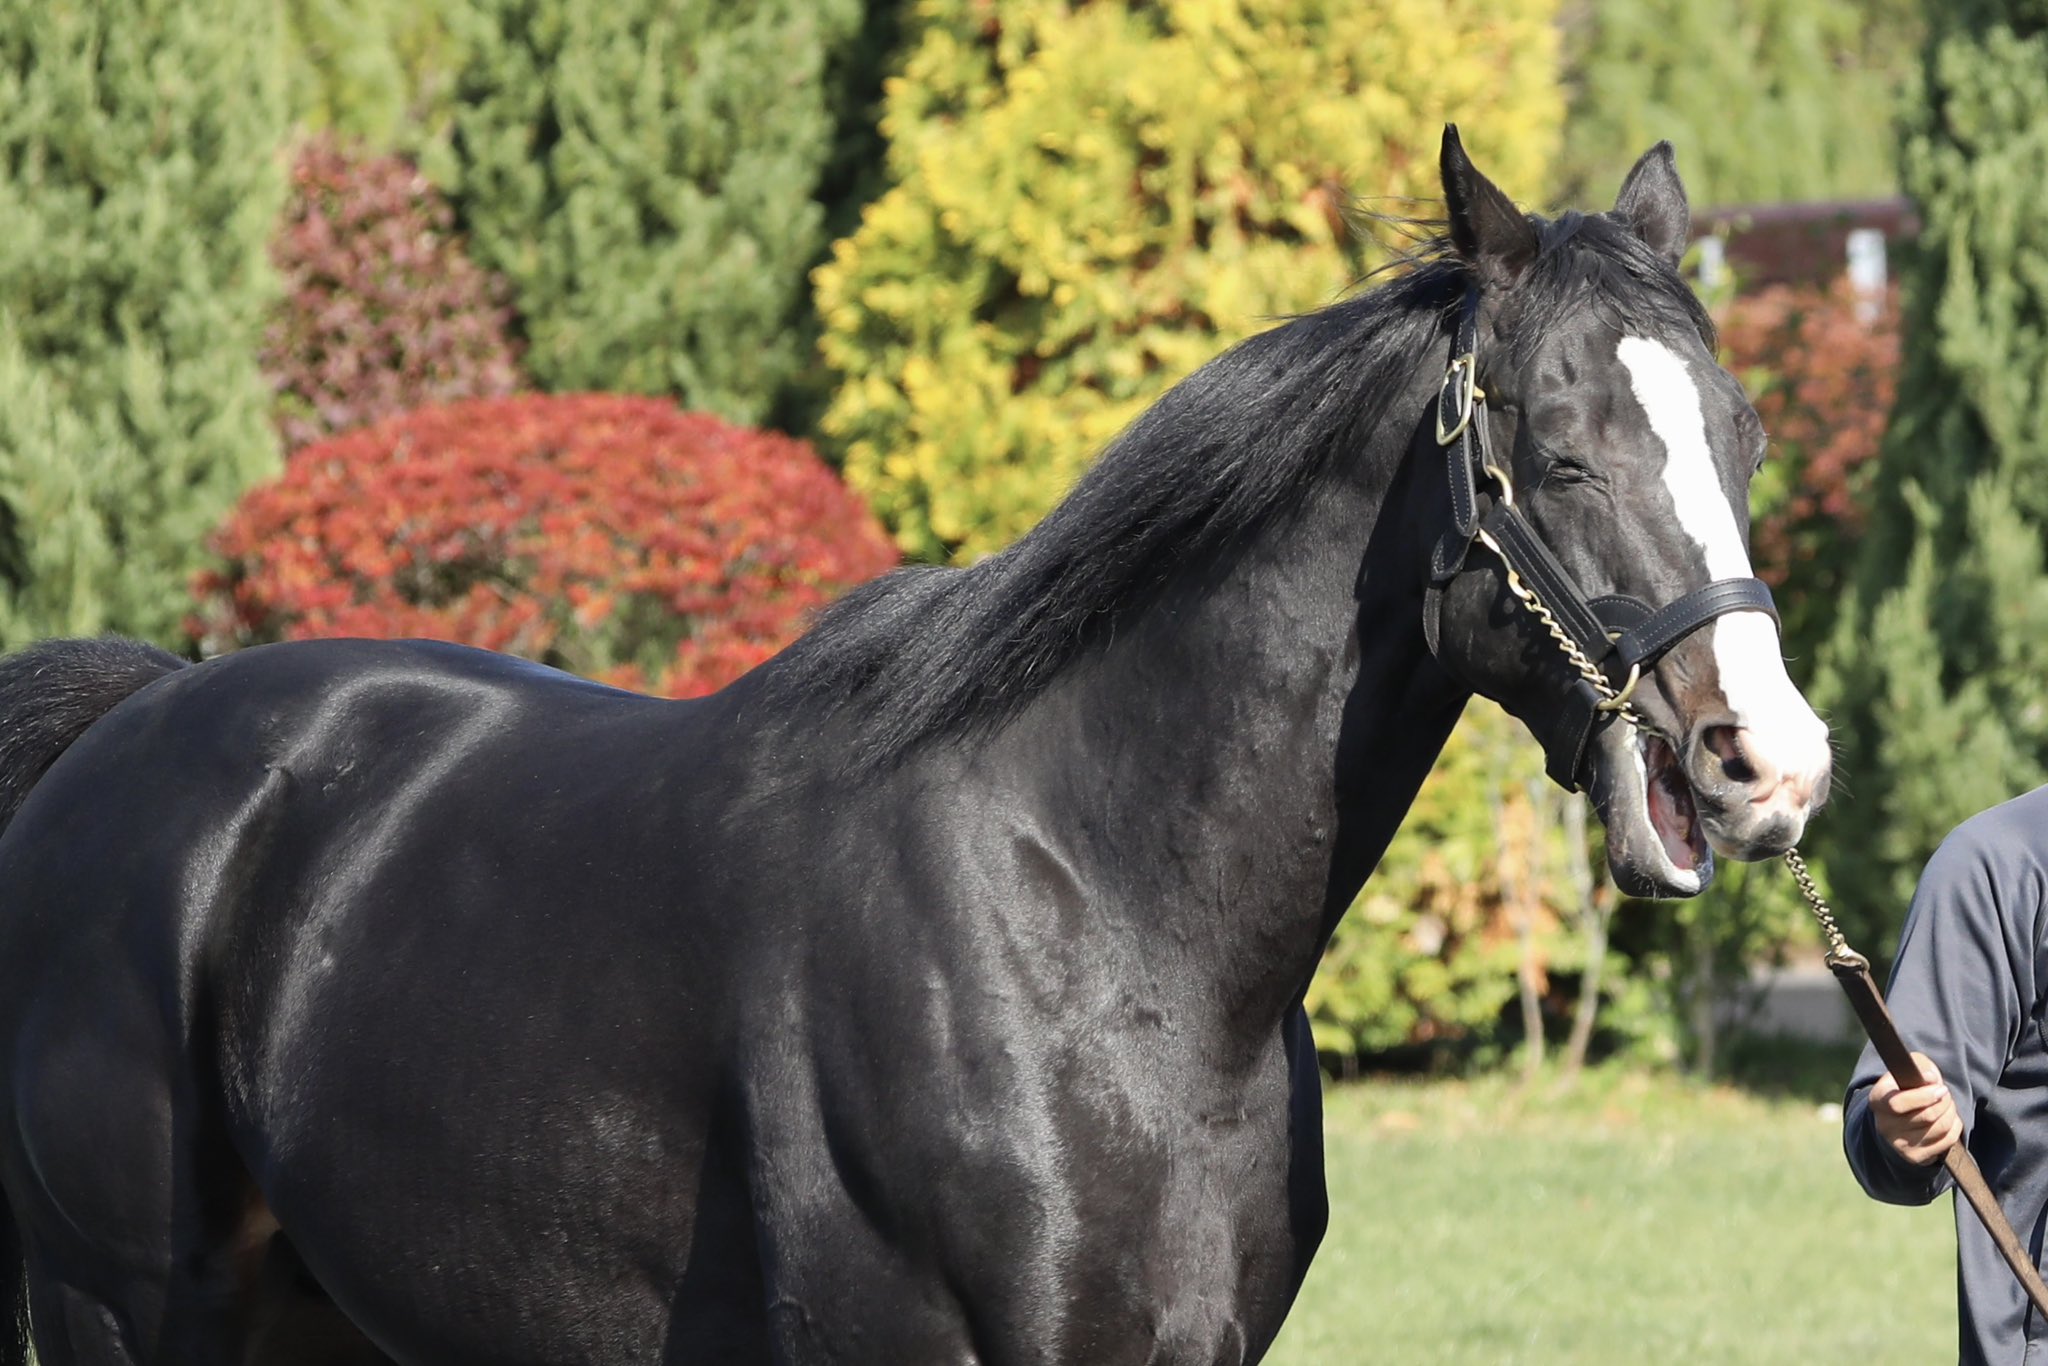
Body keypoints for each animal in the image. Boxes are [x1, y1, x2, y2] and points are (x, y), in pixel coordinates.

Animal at [0, 127, 1830, 1365]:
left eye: (1740, 438)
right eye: (1563, 452)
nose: (1767, 760)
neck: (1093, 918)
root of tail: (130, 729)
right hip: (122, 1313)